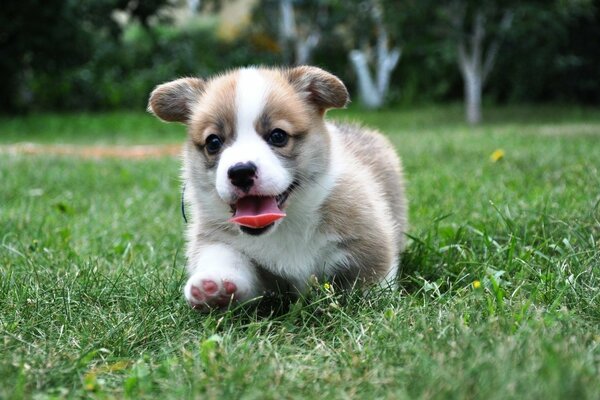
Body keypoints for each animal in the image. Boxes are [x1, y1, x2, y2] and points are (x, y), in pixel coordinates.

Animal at [148, 66, 408, 310]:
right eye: (213, 142)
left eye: (278, 136)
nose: (241, 172)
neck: (286, 224)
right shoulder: (218, 238)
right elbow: (224, 257)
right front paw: (213, 287)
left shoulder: (369, 238)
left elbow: (373, 276)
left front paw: (373, 301)